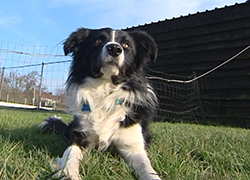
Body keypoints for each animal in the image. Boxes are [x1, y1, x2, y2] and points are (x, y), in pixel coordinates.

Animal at [41, 27, 160, 180]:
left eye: (126, 45)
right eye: (98, 41)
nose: (114, 49)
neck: (104, 89)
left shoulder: (132, 146)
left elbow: (146, 167)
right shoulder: (79, 137)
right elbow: (70, 155)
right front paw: (68, 173)